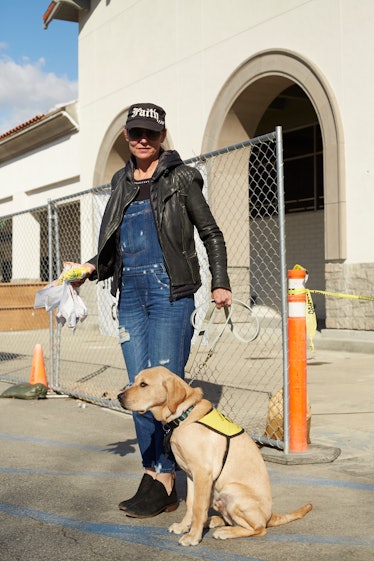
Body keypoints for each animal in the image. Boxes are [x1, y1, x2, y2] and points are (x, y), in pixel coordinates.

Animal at [118, 366, 312, 544]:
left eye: (143, 384)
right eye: (135, 381)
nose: (119, 397)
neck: (184, 416)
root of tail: (270, 515)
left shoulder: (203, 473)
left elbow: (198, 507)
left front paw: (193, 537)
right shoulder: (191, 475)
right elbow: (190, 505)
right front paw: (184, 527)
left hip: (232, 491)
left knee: (258, 528)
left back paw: (225, 531)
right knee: (230, 520)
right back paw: (212, 521)